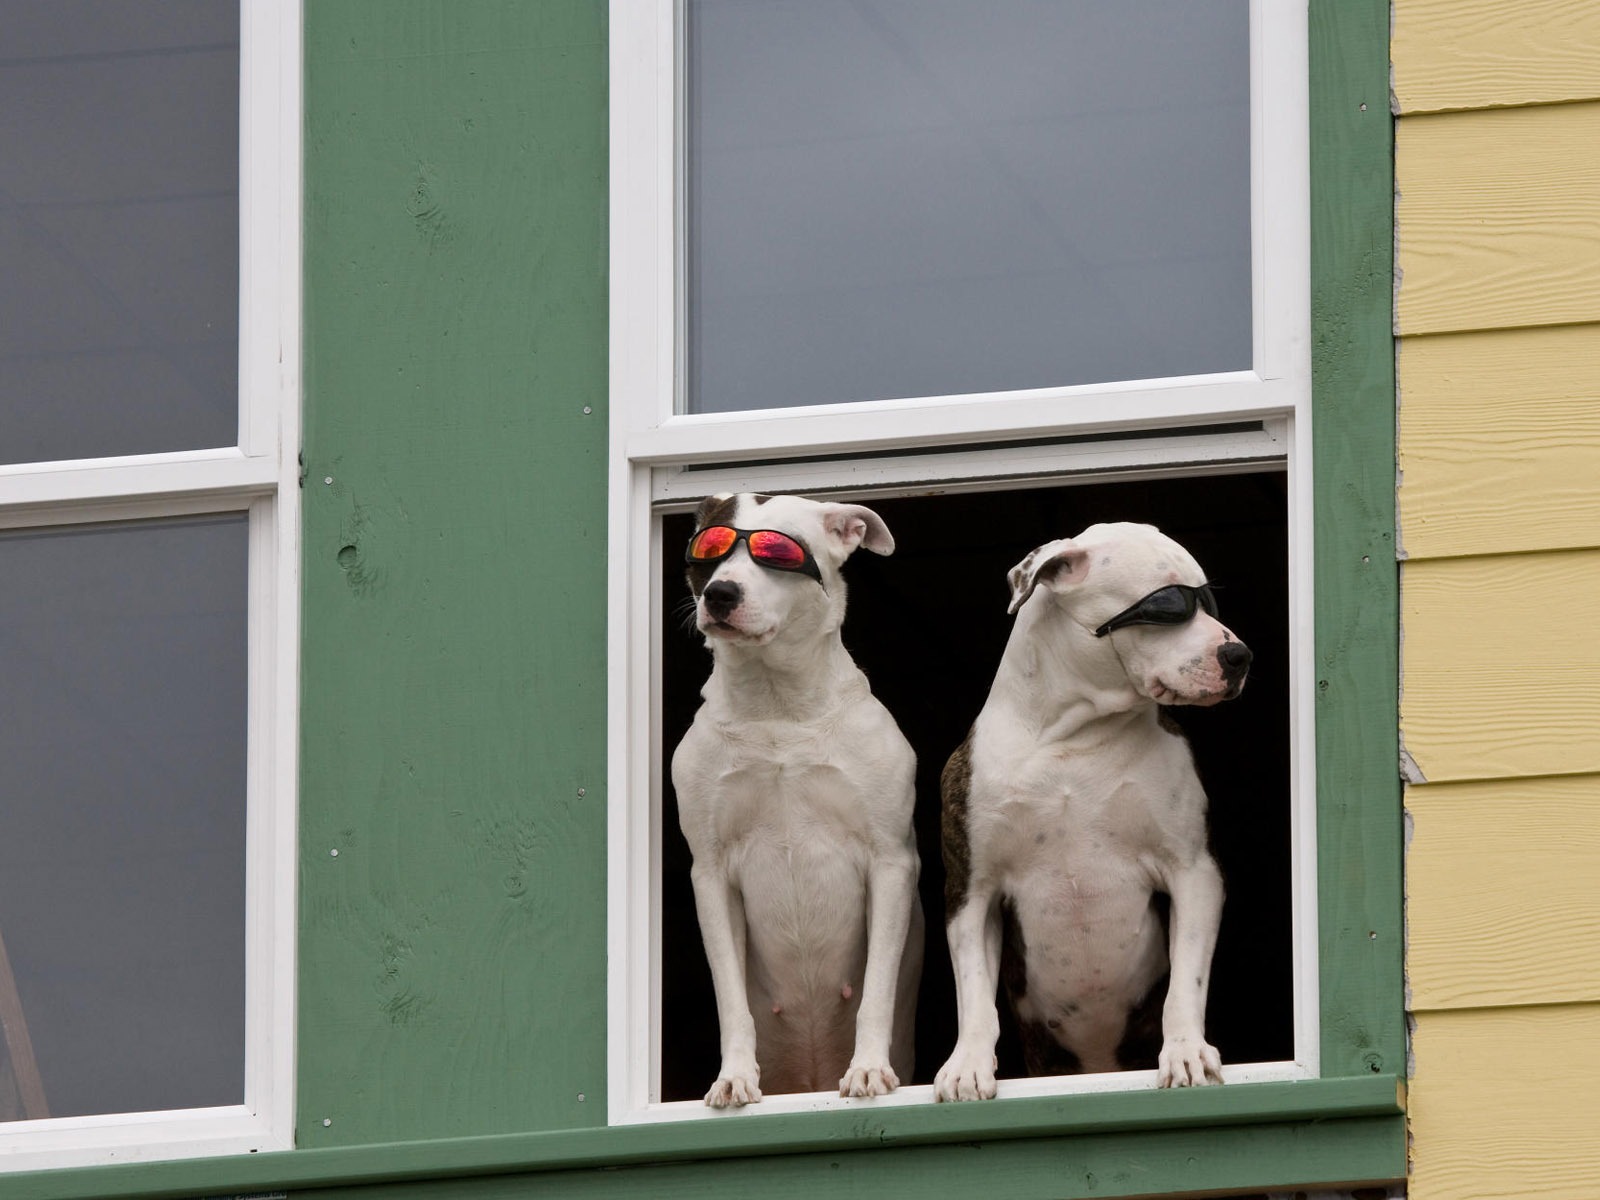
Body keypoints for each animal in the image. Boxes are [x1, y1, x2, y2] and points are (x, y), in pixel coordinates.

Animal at [672, 489, 928, 1107]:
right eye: (710, 551)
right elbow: (731, 1000)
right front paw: (734, 1075)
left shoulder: (890, 863)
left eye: (779, 552)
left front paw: (868, 1068)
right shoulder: (711, 874)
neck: (776, 705)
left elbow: (876, 990)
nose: (721, 593)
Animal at [934, 521, 1248, 1107]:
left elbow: (1186, 982)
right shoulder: (972, 891)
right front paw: (966, 1065)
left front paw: (1186, 1050)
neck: (1073, 737)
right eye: (1167, 604)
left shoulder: (1194, 871)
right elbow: (974, 993)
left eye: (1207, 599)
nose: (1239, 654)